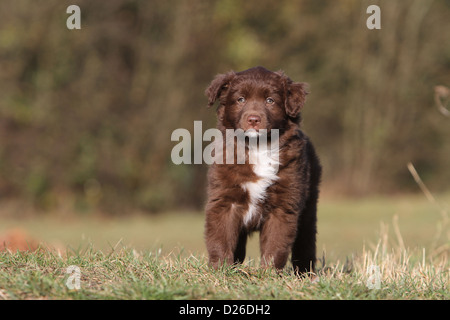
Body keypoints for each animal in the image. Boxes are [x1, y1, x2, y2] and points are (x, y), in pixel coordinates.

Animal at [204, 66, 320, 274]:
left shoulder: (283, 206)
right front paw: (220, 270)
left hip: (309, 204)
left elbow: (276, 244)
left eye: (270, 100)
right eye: (240, 99)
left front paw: (269, 273)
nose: (253, 119)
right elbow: (220, 237)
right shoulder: (224, 199)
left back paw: (305, 274)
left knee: (306, 242)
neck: (258, 147)